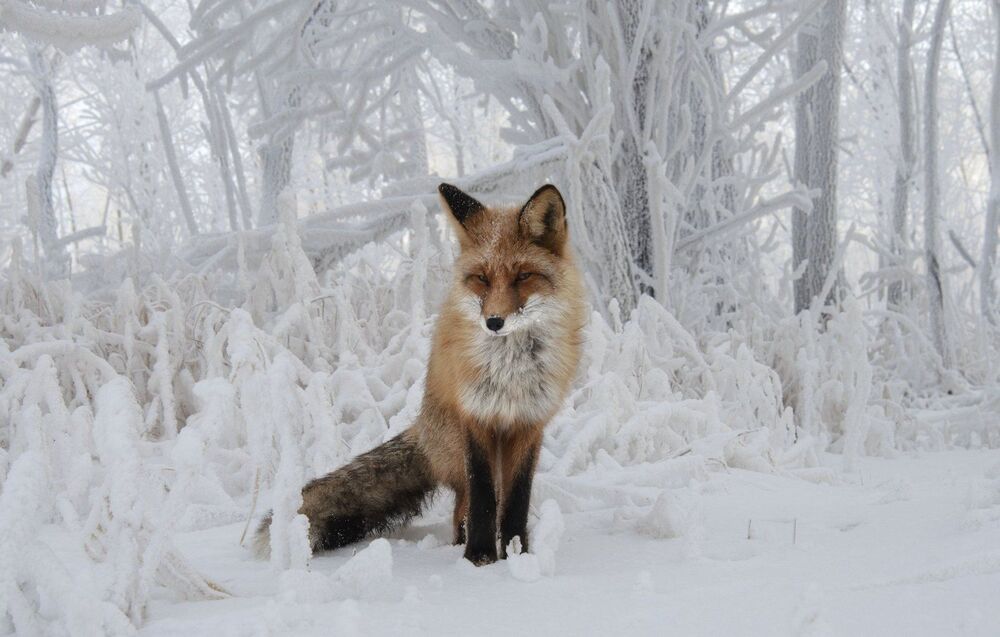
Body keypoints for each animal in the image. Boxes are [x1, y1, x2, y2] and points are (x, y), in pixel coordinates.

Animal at [254, 182, 586, 565]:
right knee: (464, 504)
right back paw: (460, 544)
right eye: (482, 279)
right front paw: (479, 558)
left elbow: (516, 501)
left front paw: (519, 555)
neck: (510, 371)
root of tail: (422, 430)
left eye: (523, 276)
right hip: (457, 443)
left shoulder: (528, 424)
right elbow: (483, 499)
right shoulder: (475, 419)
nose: (493, 322)